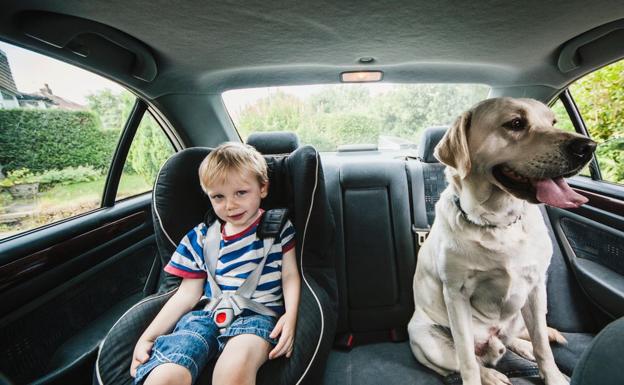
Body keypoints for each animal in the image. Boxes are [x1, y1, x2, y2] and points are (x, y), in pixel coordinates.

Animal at [408, 97, 596, 384]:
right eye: (515, 123)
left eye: (553, 121)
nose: (587, 147)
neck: (497, 223)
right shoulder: (456, 294)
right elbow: (466, 360)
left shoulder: (535, 287)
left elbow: (542, 345)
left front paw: (552, 375)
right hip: (425, 339)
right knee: (465, 361)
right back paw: (491, 374)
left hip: (518, 314)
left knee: (516, 339)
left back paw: (525, 347)